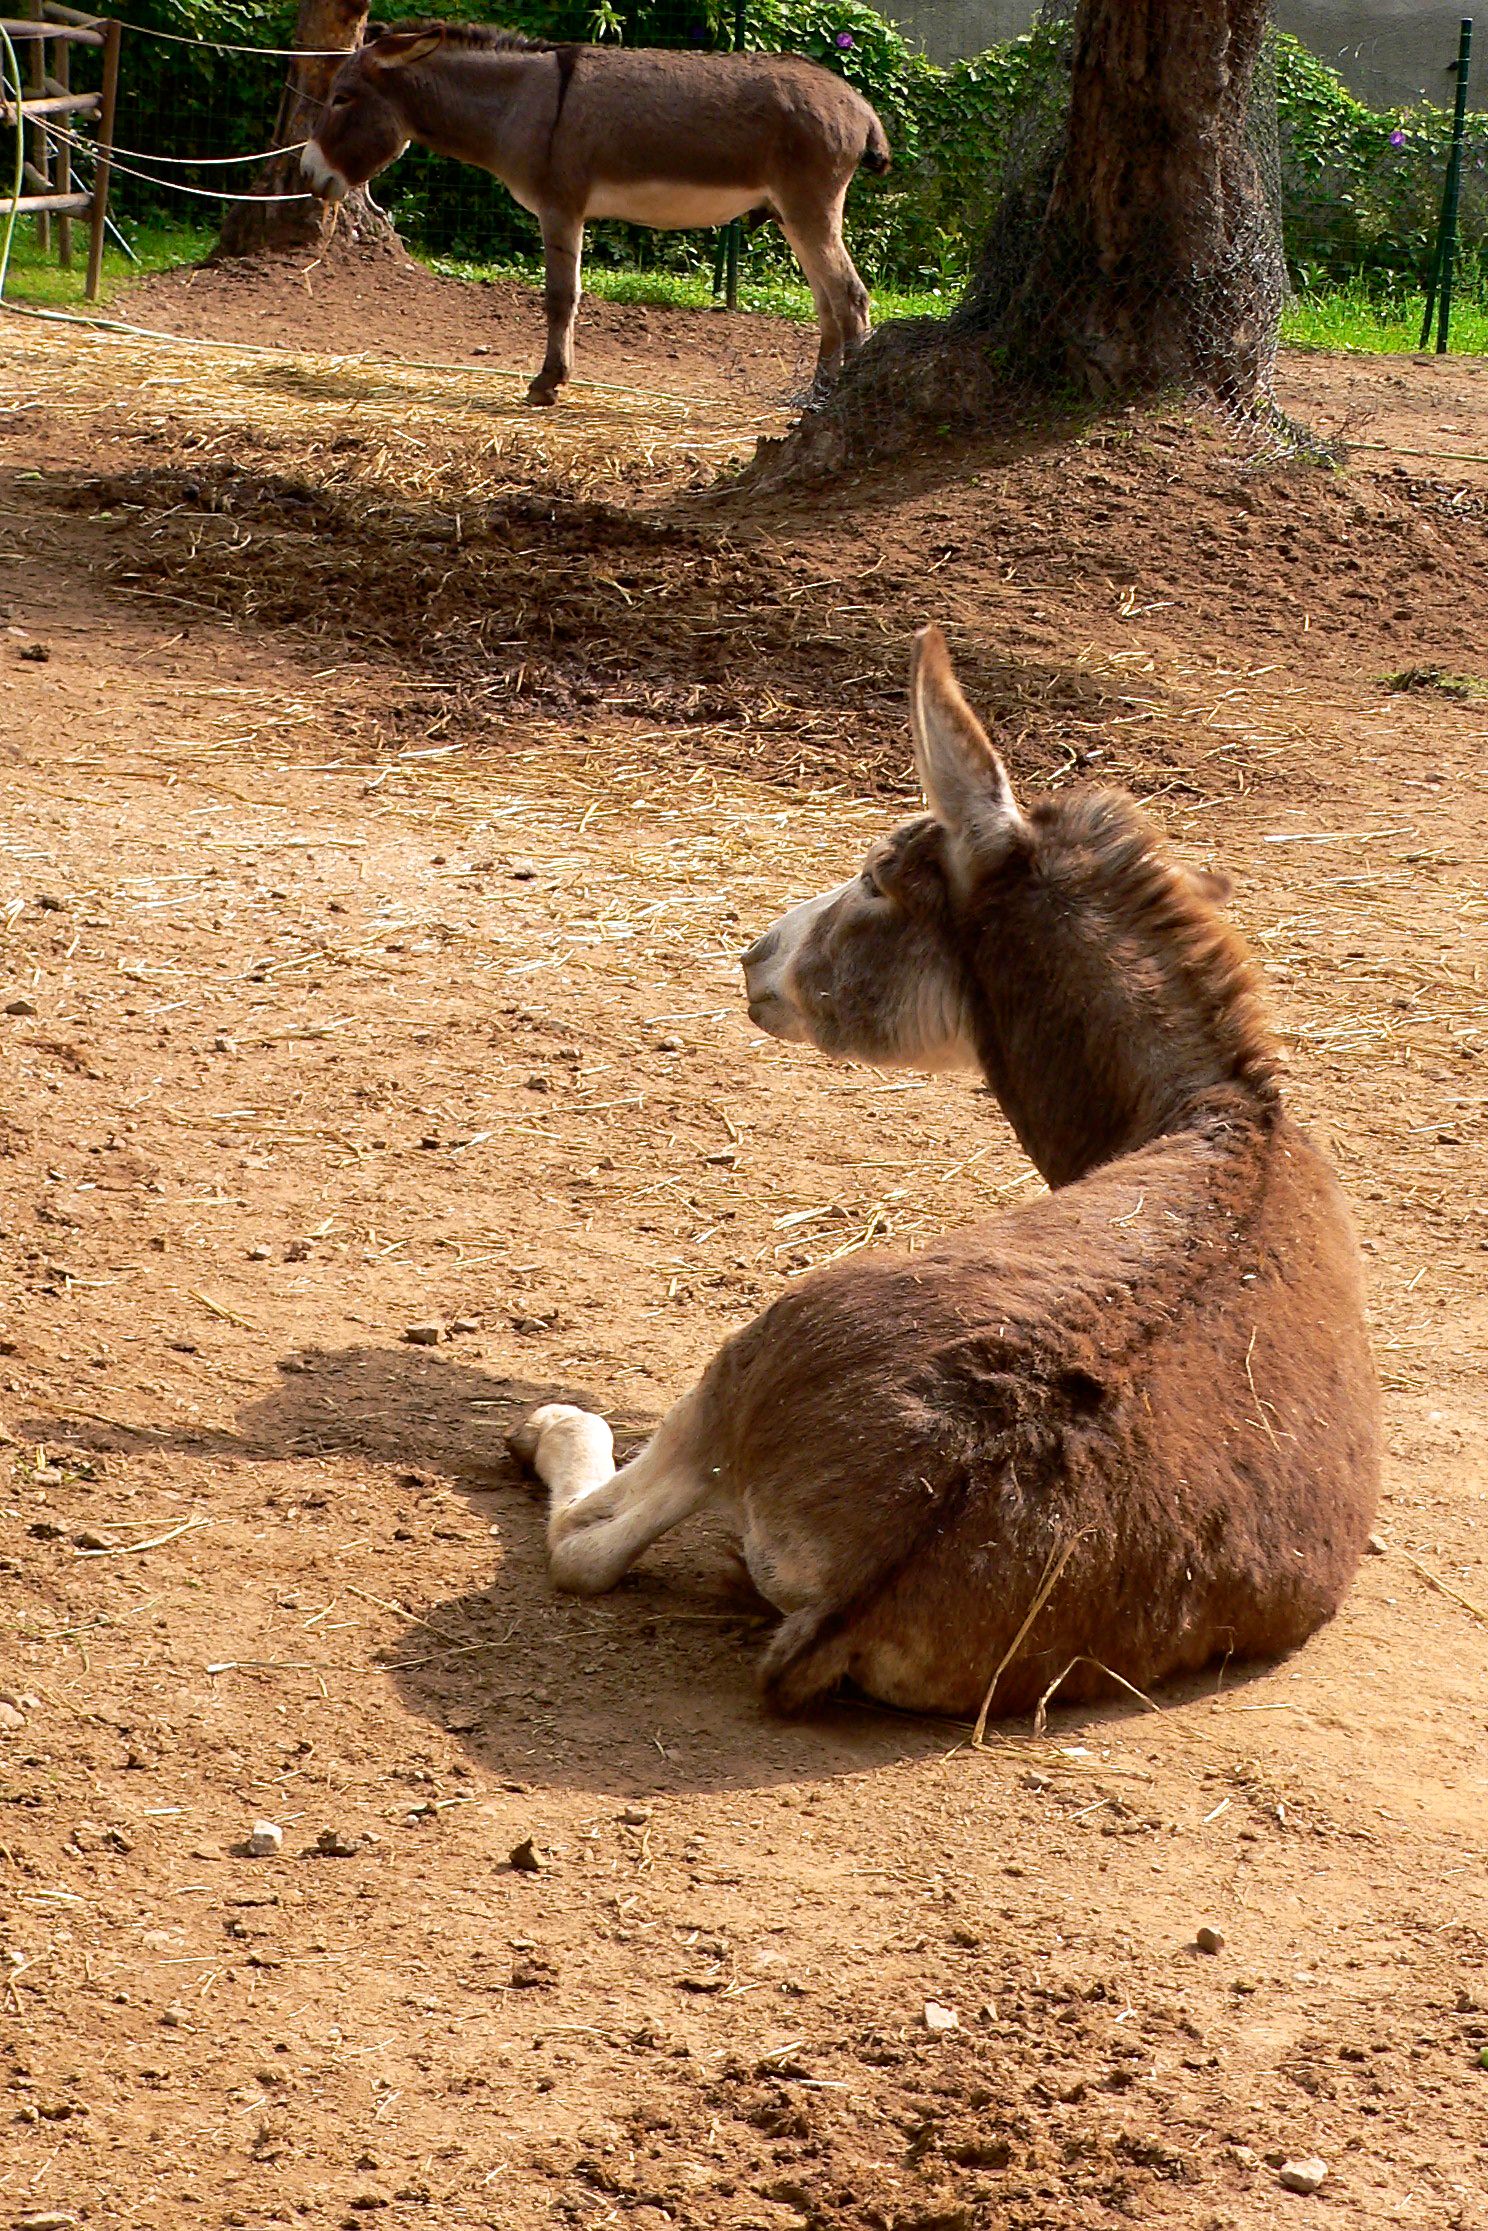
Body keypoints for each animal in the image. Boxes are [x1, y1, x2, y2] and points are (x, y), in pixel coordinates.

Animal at [301, 22, 890, 406]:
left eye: (342, 98)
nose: (307, 175)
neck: (520, 102)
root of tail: (859, 105)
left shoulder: (559, 207)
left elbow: (561, 297)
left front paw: (546, 385)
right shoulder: (570, 210)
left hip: (810, 205)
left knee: (852, 298)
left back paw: (842, 401)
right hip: (792, 214)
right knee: (828, 303)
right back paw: (816, 396)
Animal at [512, 627, 1380, 1722]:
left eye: (879, 875)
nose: (754, 959)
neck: (1227, 1116)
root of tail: (947, 1486)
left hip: (754, 1352)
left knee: (585, 1544)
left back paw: (552, 1430)